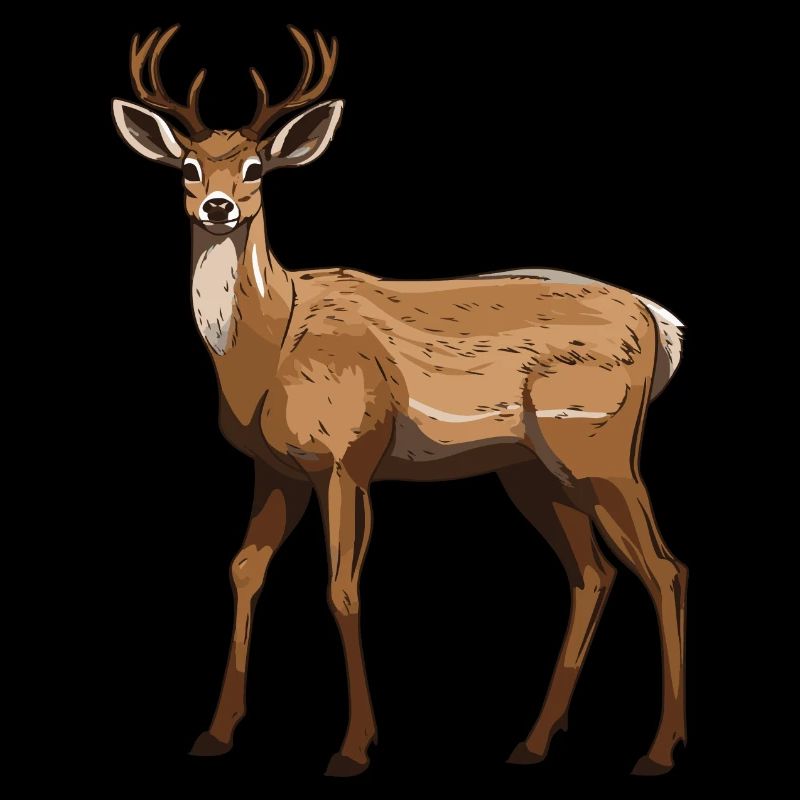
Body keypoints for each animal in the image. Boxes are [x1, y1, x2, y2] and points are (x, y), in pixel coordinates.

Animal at [112, 24, 688, 777]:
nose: (218, 206)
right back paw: (532, 742)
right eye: (186, 166)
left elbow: (342, 586)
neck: (270, 346)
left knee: (665, 569)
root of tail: (661, 323)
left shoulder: (346, 454)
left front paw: (354, 748)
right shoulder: (274, 468)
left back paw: (660, 750)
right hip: (533, 469)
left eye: (257, 168)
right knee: (593, 574)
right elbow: (242, 570)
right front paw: (215, 733)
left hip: (600, 446)